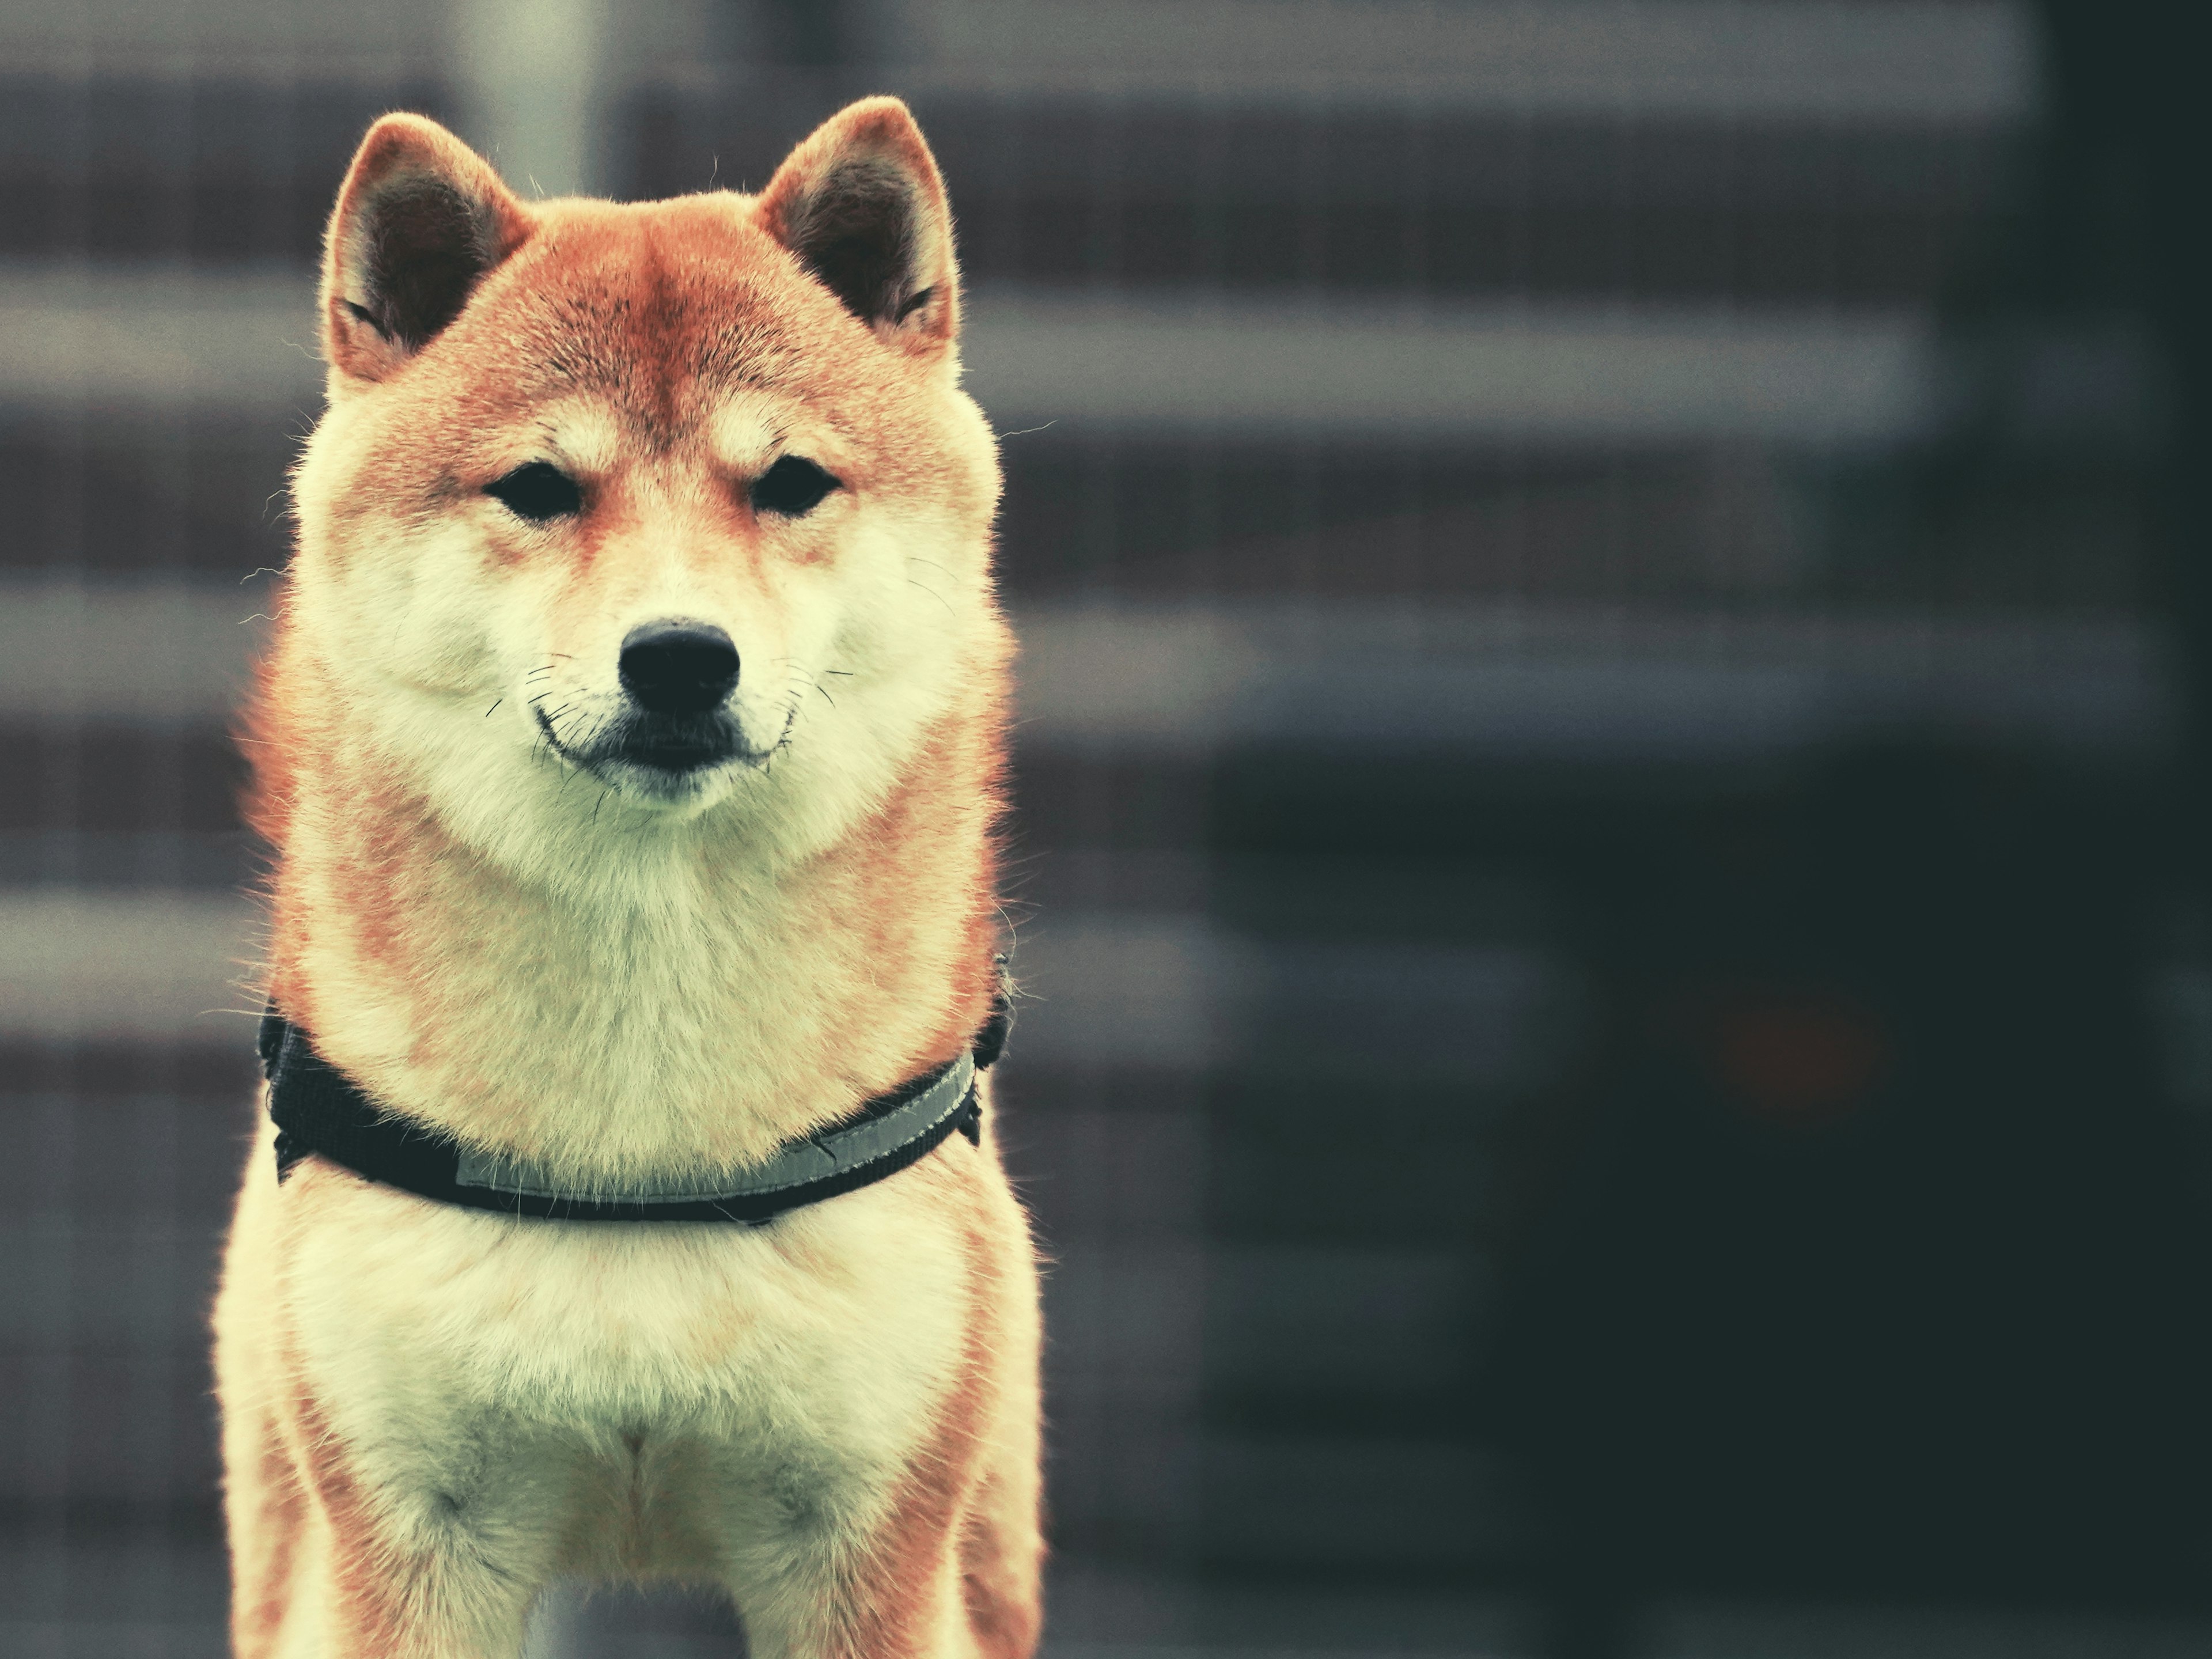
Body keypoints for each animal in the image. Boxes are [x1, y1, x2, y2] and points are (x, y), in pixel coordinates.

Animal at [211, 104, 1039, 1659]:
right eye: (540, 489)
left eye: (789, 483)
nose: (679, 656)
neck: (640, 1136)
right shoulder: (409, 1545)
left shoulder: (868, 1552)